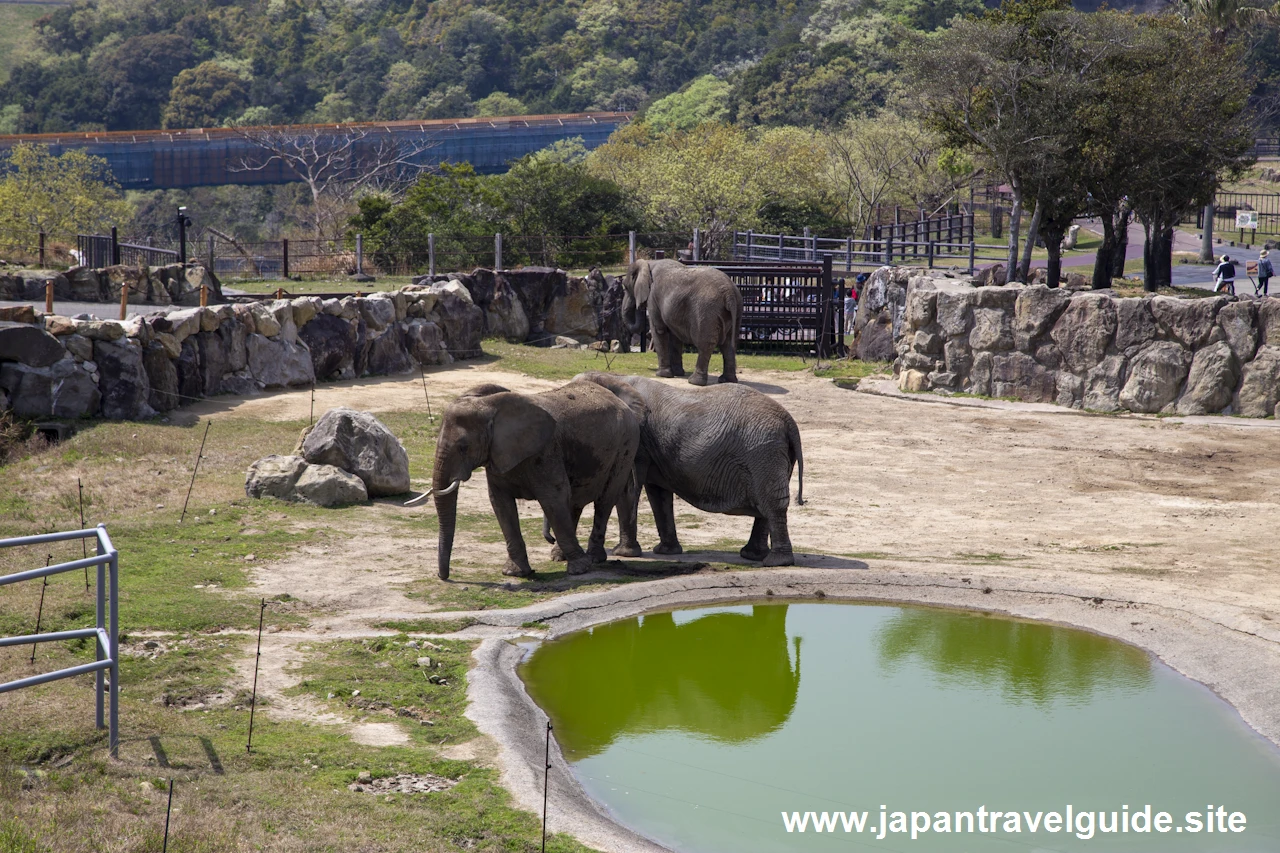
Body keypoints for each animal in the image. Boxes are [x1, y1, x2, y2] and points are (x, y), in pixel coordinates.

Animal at [414, 379, 640, 578]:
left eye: (463, 447)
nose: (443, 576)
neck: (490, 406)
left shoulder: (546, 452)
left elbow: (553, 500)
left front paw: (579, 570)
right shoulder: (497, 456)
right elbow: (501, 505)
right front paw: (514, 573)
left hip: (625, 446)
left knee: (604, 501)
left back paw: (592, 559)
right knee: (575, 502)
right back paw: (559, 556)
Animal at [578, 371, 803, 563]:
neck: (615, 378)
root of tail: (789, 421)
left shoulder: (635, 439)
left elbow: (627, 489)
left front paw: (623, 553)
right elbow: (658, 494)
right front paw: (665, 552)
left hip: (764, 452)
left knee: (771, 503)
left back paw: (776, 562)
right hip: (772, 454)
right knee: (766, 504)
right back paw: (754, 556)